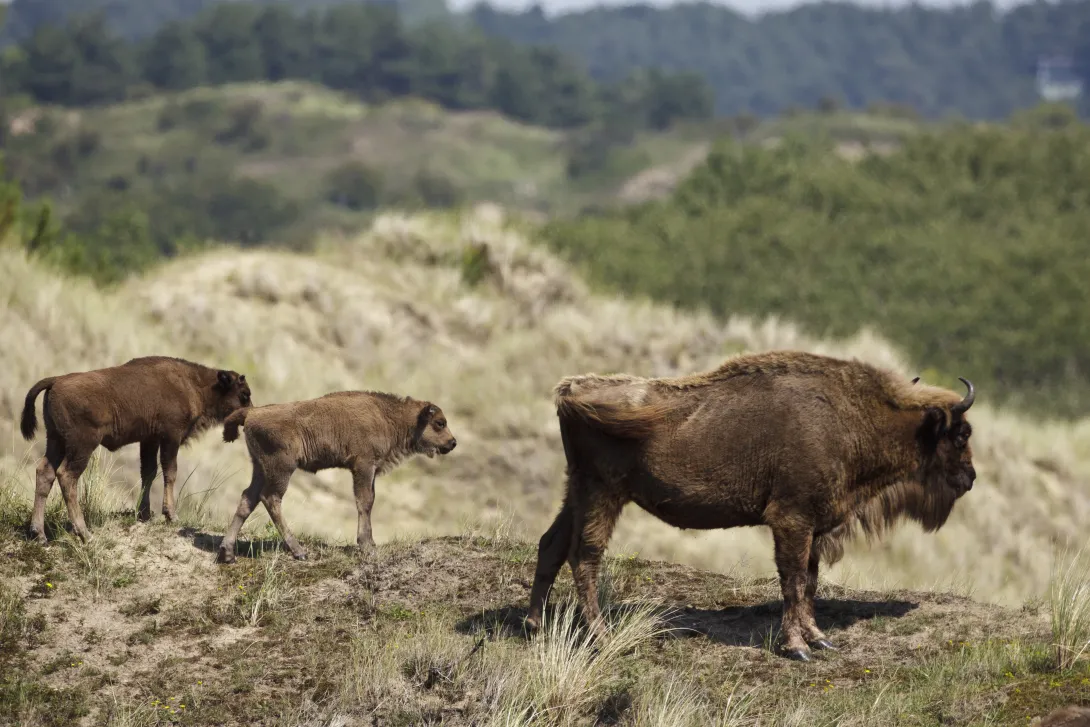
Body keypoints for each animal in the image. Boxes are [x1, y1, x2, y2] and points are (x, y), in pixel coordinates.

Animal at [20, 356, 253, 543]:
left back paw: (39, 534)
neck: (194, 383)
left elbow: (148, 472)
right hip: (81, 446)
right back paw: (85, 533)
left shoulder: (149, 440)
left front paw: (145, 514)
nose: (249, 415)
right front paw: (171, 515)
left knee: (45, 473)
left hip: (56, 441)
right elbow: (170, 472)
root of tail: (56, 380)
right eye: (244, 393)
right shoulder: (170, 437)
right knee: (67, 477)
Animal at [215, 390, 458, 564]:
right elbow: (364, 502)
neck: (389, 416)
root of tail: (252, 413)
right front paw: (366, 546)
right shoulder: (363, 467)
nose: (453, 442)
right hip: (281, 469)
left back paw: (227, 554)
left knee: (248, 499)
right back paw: (299, 551)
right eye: (439, 423)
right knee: (271, 499)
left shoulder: (370, 471)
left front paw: (371, 544)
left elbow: (369, 501)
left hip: (260, 468)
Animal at [524, 350, 977, 661]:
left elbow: (810, 581)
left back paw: (533, 626)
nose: (970, 478)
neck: (851, 419)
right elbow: (793, 581)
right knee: (585, 555)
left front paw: (819, 639)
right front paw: (797, 648)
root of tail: (572, 391)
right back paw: (600, 637)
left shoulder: (813, 528)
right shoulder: (792, 521)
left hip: (578, 490)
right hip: (602, 493)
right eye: (960, 435)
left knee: (551, 544)